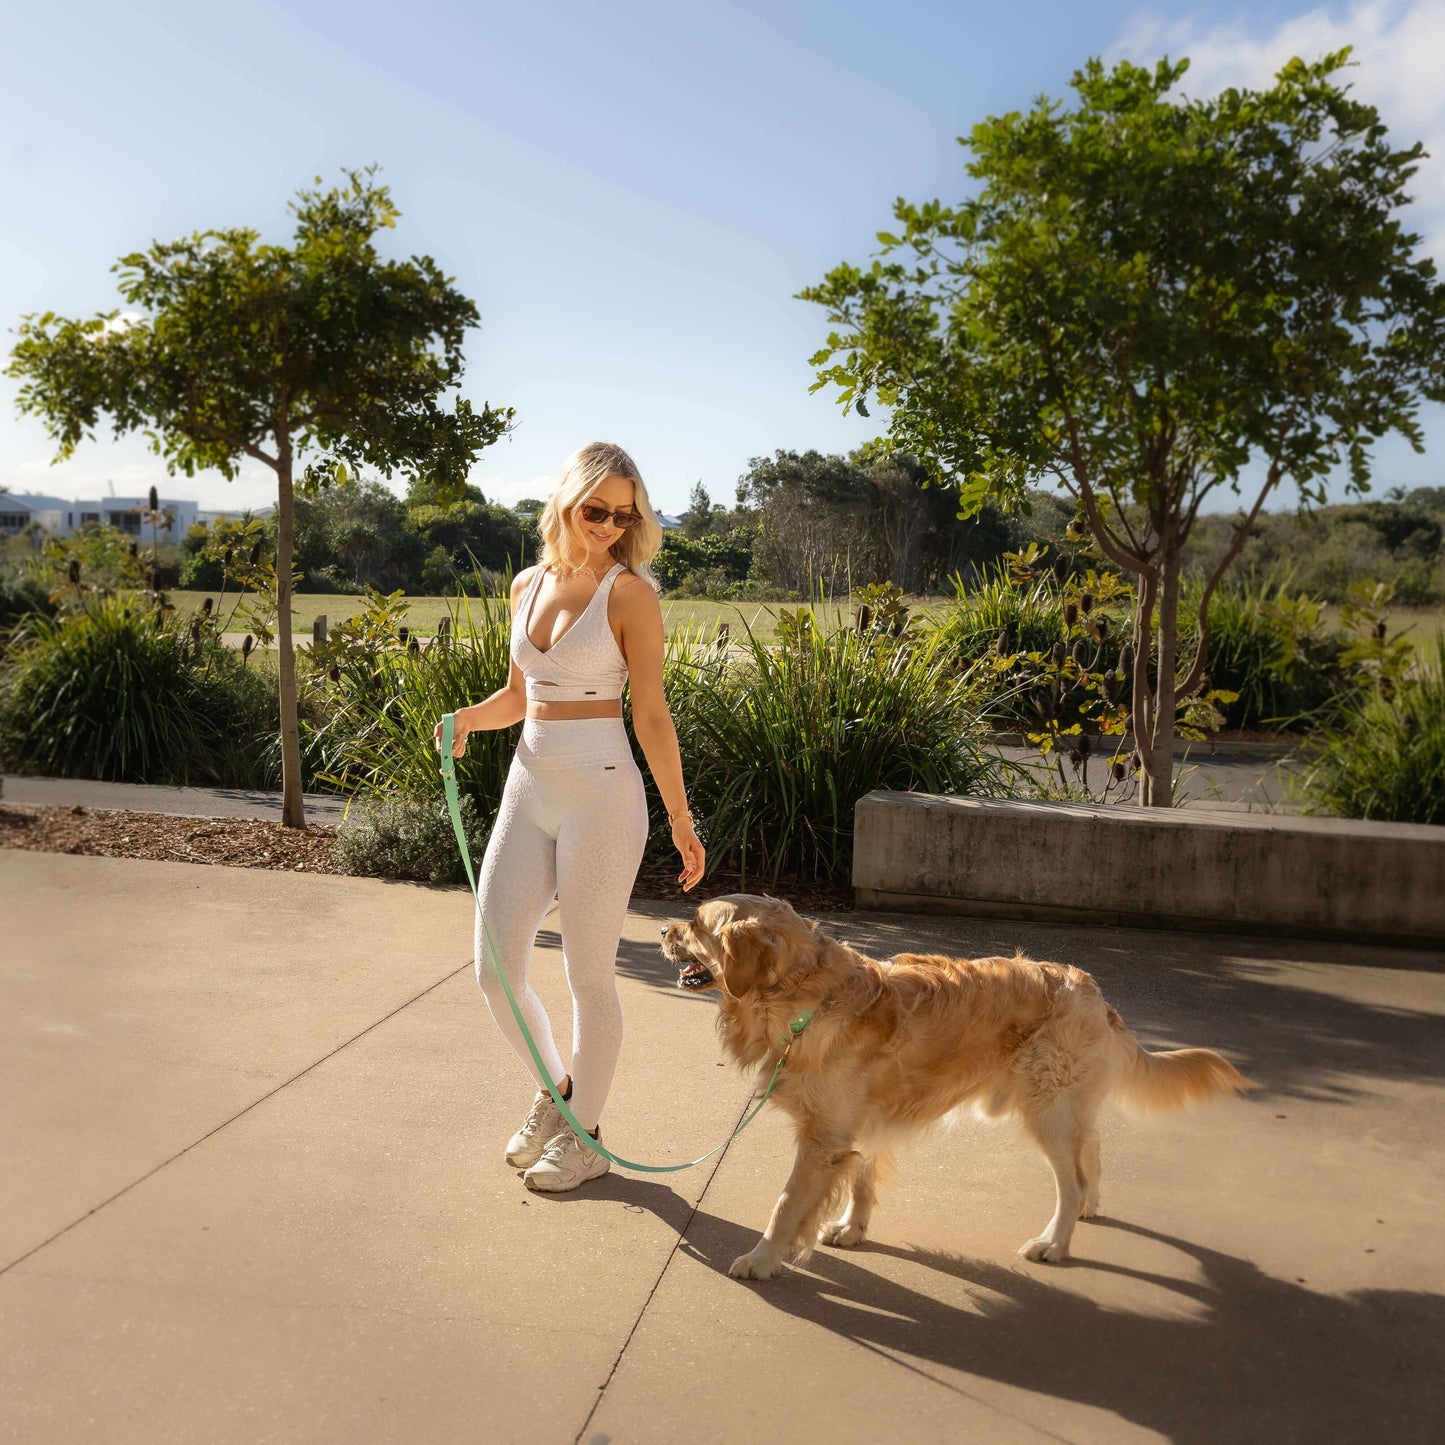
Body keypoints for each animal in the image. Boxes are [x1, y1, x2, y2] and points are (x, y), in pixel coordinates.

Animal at [661, 895, 1248, 1283]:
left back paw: (1054, 1242)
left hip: (1047, 1111)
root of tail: (1094, 992)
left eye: (695, 923)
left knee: (1073, 1181)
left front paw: (762, 1259)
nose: (663, 929)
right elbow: (862, 1180)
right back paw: (1091, 1207)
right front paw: (852, 1228)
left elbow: (786, 1205)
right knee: (1094, 1148)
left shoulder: (824, 1139)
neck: (803, 997)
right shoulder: (862, 1123)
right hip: (1066, 1105)